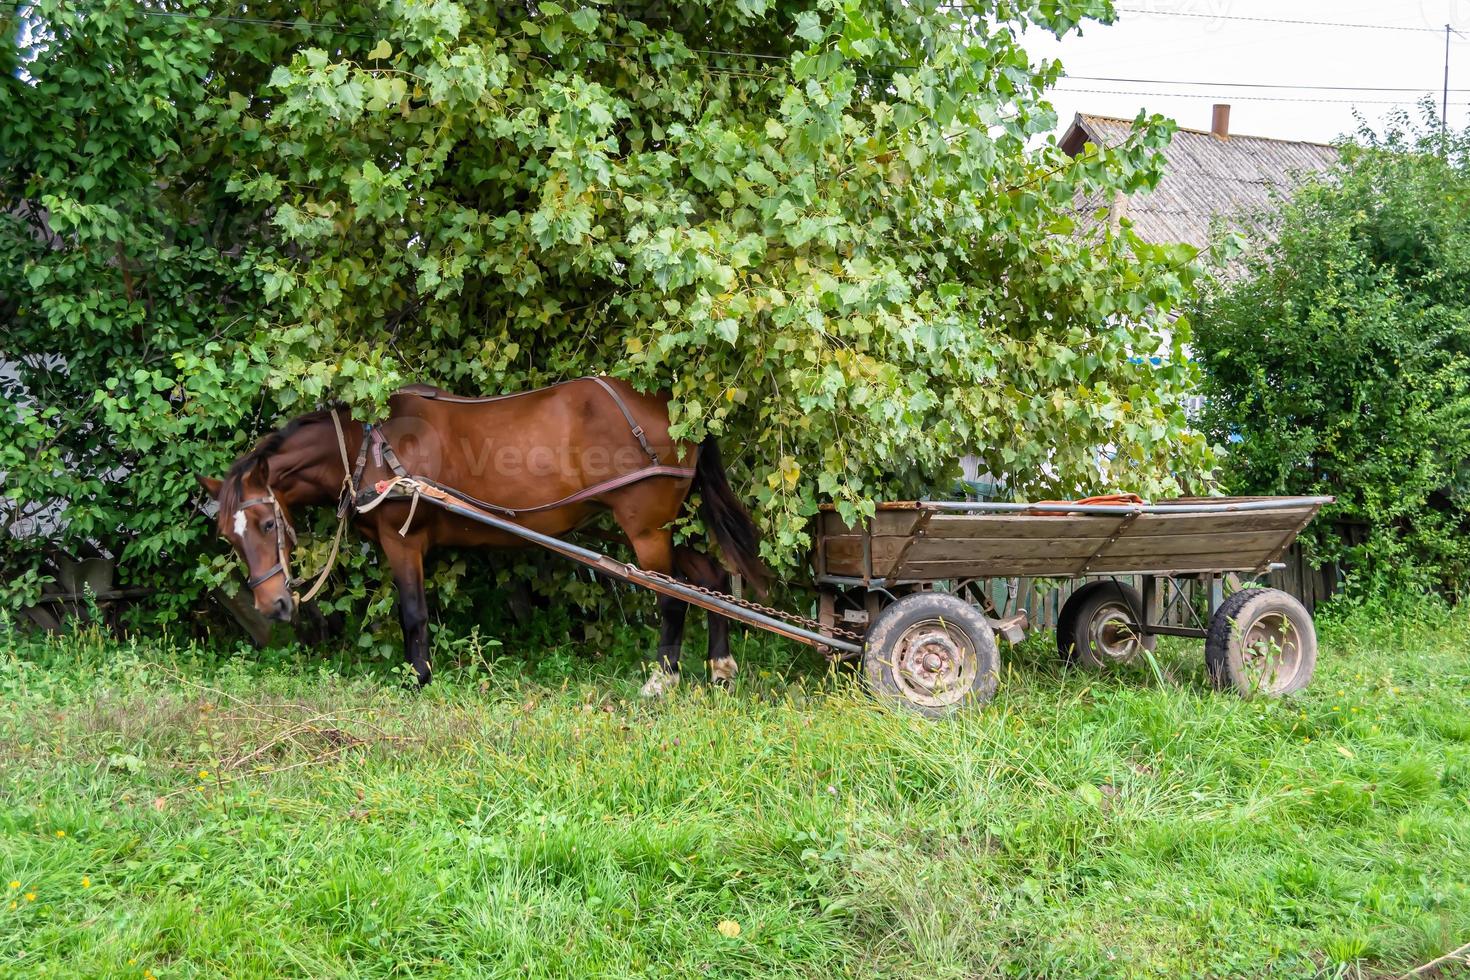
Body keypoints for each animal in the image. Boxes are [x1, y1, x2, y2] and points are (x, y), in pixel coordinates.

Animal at [195, 376, 770, 690]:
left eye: (269, 523)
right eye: (228, 536)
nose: (272, 606)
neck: (368, 452)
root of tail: (678, 412)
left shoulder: (402, 539)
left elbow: (413, 614)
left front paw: (418, 680)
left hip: (646, 527)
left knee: (672, 598)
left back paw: (662, 678)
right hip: (671, 523)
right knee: (712, 579)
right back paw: (720, 668)